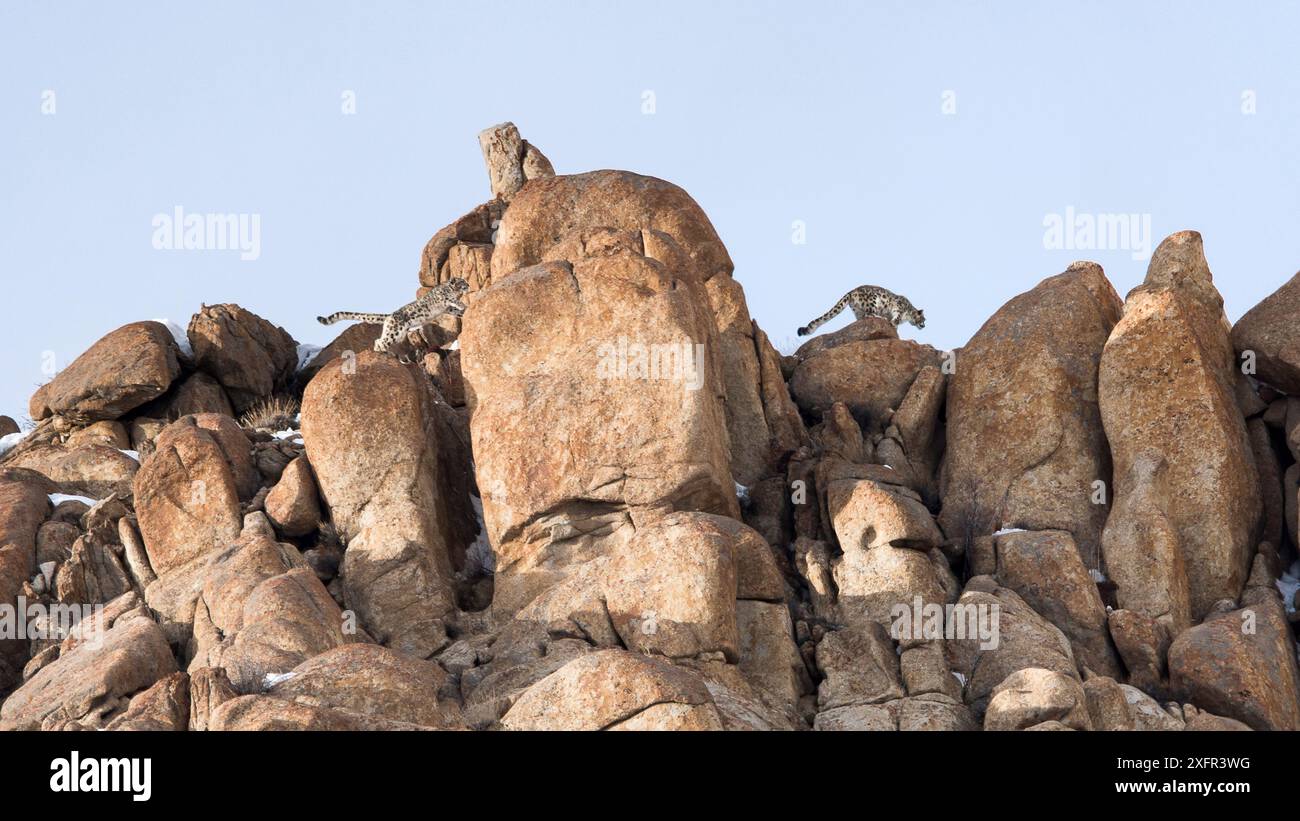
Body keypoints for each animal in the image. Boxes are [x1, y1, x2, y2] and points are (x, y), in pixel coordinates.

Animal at [317, 279, 470, 353]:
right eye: (462, 281)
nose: (468, 285)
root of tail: (390, 316)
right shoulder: (444, 298)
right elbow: (454, 300)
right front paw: (463, 304)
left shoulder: (447, 308)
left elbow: (454, 309)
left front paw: (463, 310)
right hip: (394, 332)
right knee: (381, 341)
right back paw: (382, 352)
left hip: (397, 334)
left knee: (379, 339)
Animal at [790, 281, 925, 332]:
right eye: (924, 319)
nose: (924, 326)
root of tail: (852, 292)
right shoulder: (899, 310)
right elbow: (896, 318)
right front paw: (894, 325)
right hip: (872, 301)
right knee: (869, 314)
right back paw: (879, 317)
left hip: (857, 310)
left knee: (862, 318)